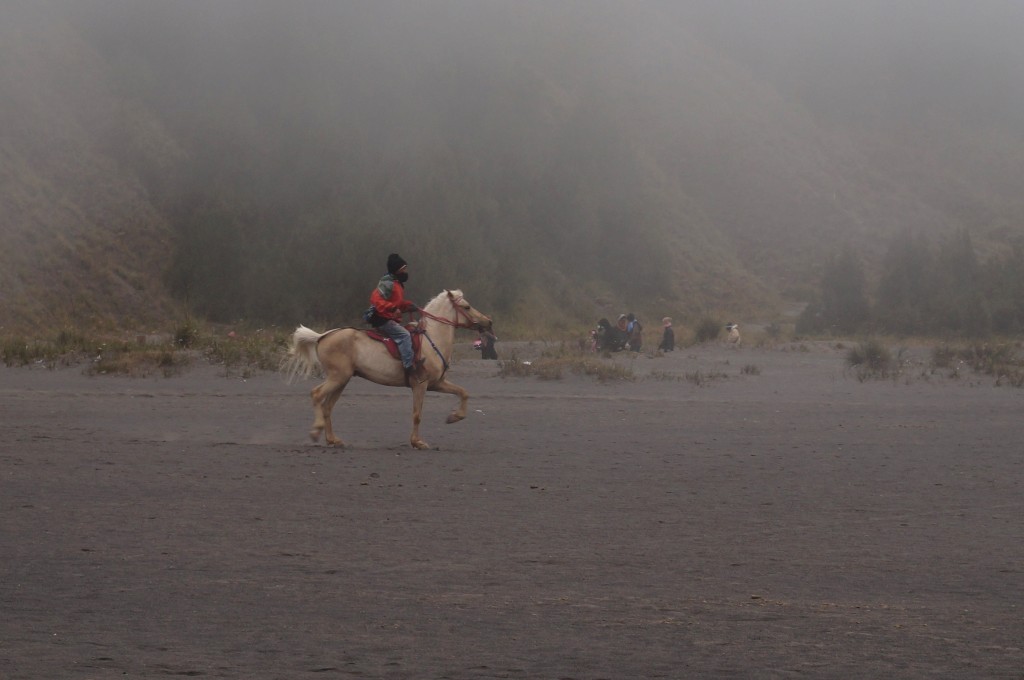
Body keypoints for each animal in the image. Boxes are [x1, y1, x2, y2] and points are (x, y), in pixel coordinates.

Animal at [284, 288, 491, 448]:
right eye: (466, 307)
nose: (488, 321)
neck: (431, 340)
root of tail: (322, 336)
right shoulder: (420, 384)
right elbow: (417, 414)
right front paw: (417, 442)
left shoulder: (437, 383)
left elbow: (463, 392)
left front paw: (454, 417)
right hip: (337, 377)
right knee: (317, 394)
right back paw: (316, 431)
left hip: (342, 380)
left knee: (327, 406)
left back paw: (333, 440)